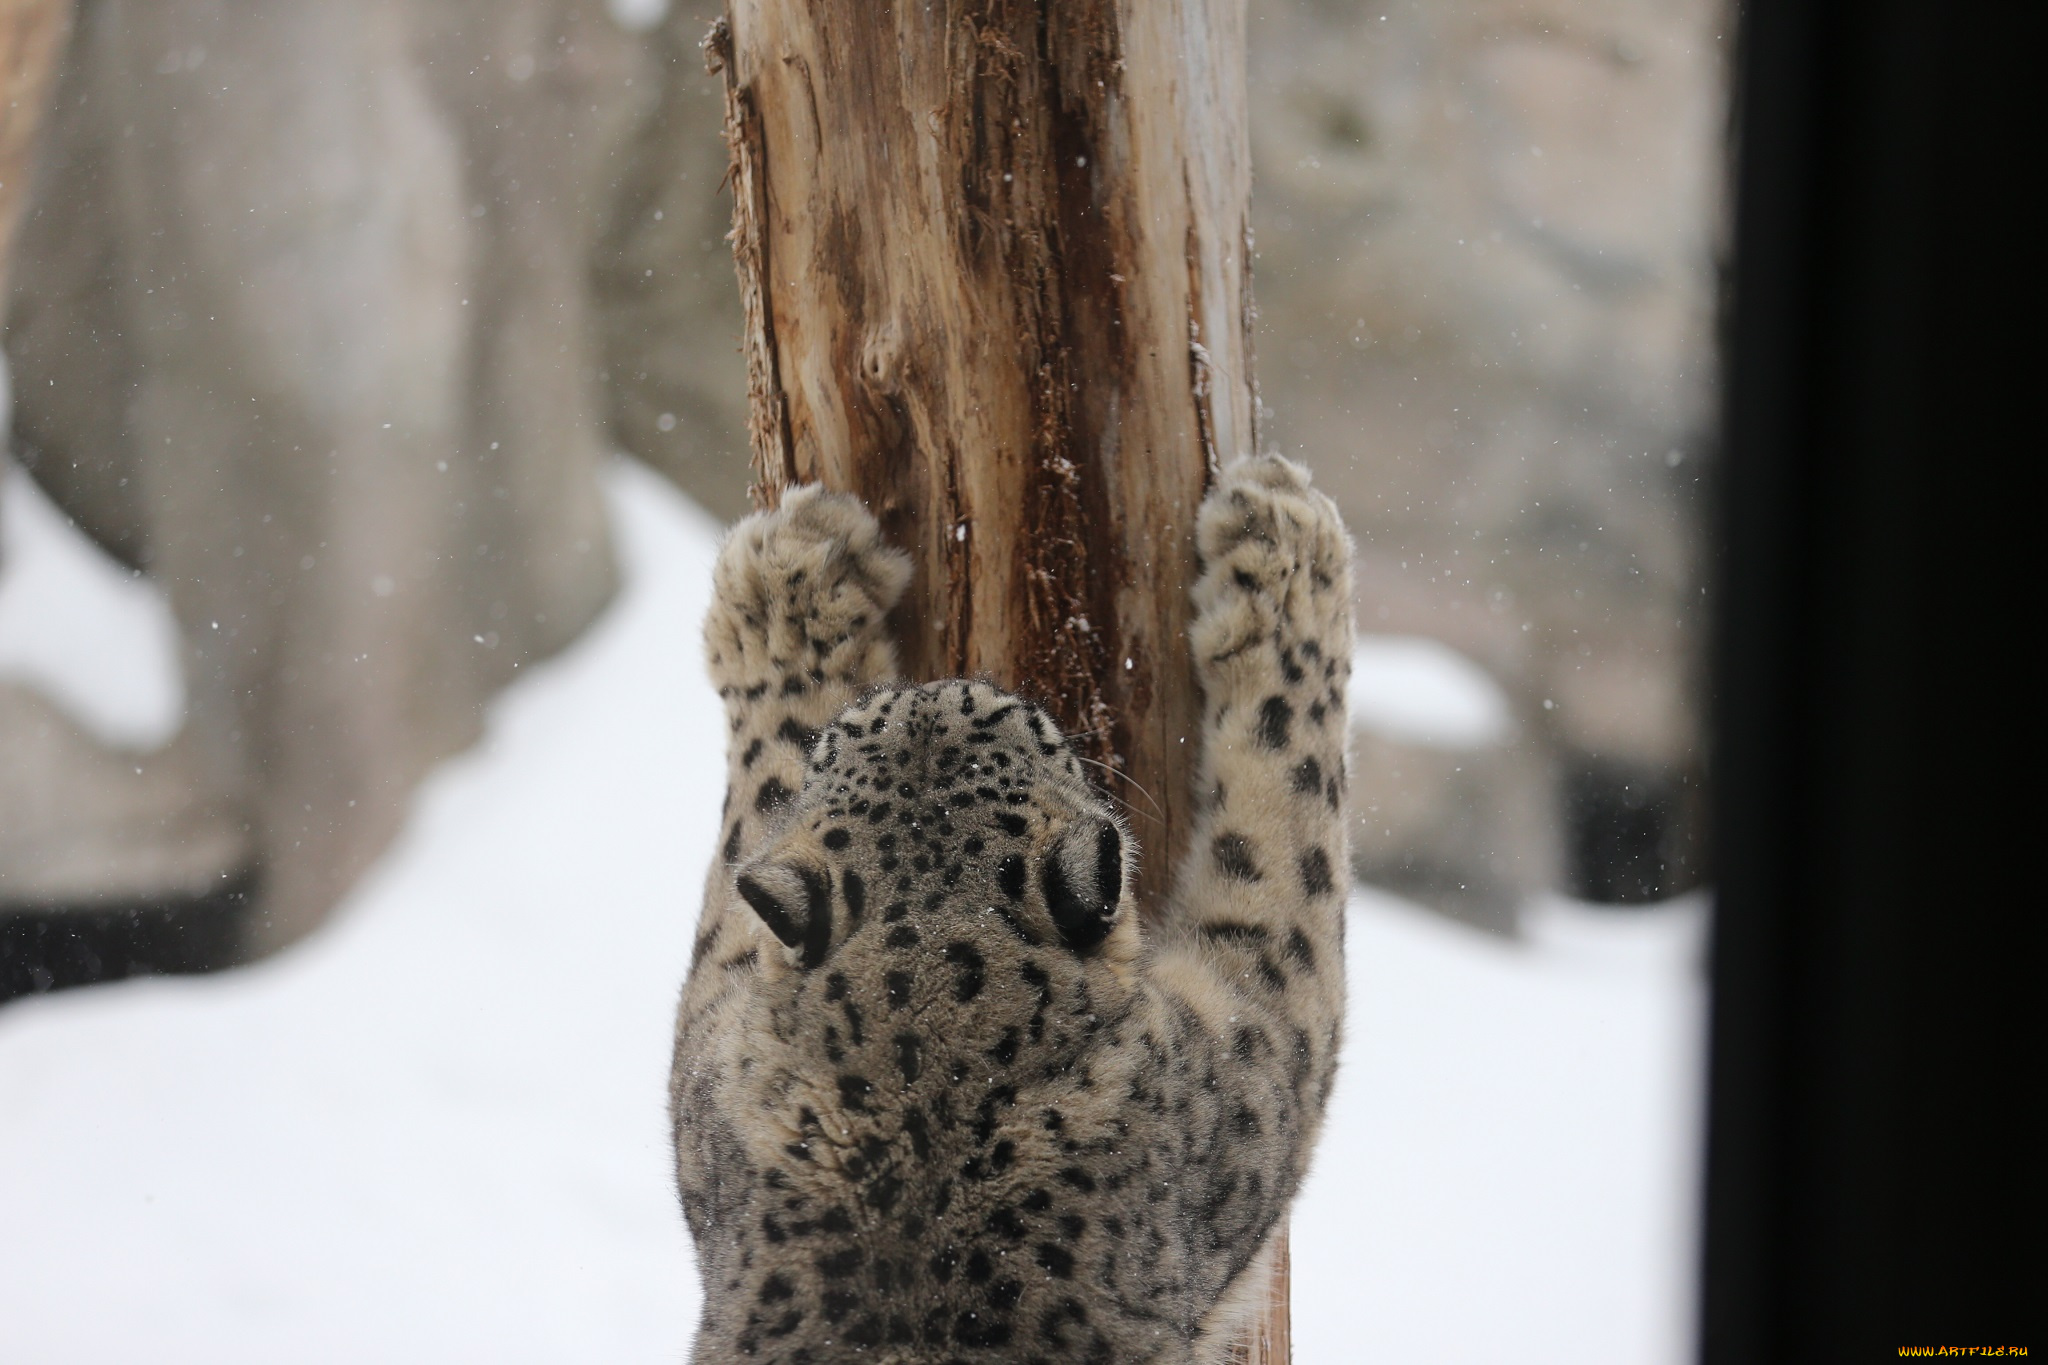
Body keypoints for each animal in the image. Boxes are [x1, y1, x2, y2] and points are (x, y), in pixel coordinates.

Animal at [671, 458, 1359, 1365]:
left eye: (842, 735)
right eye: (1028, 722)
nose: (934, 687)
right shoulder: (1251, 1057)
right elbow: (1292, 808)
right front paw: (1285, 542)